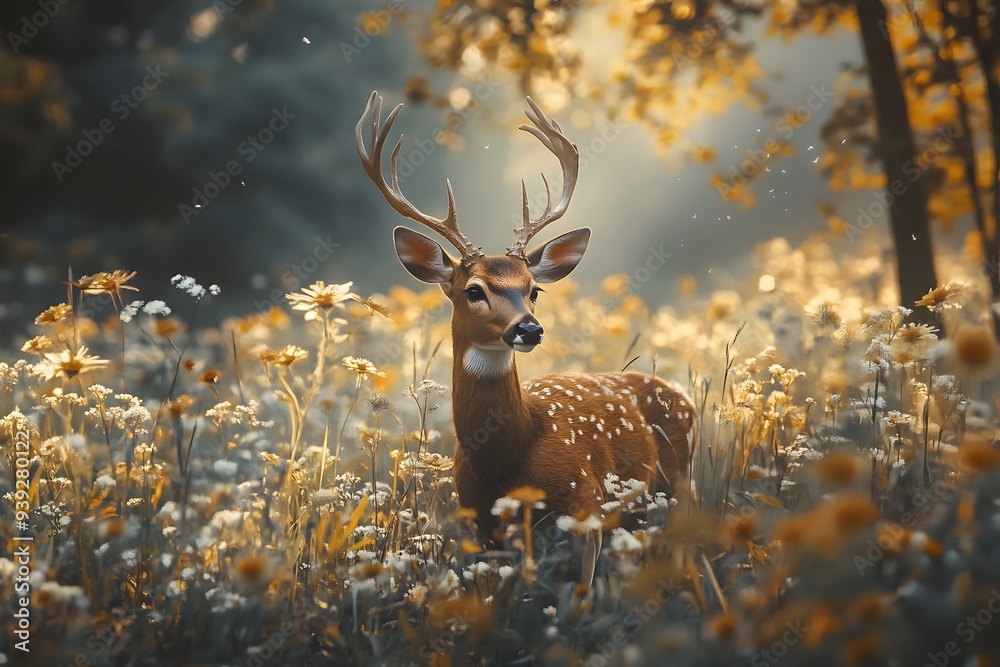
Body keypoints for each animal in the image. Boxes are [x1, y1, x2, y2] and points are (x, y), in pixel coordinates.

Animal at [356, 91, 696, 585]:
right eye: (473, 290)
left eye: (534, 289)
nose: (529, 328)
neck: (510, 460)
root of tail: (684, 398)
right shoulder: (480, 523)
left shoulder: (587, 506)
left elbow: (581, 593)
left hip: (677, 487)